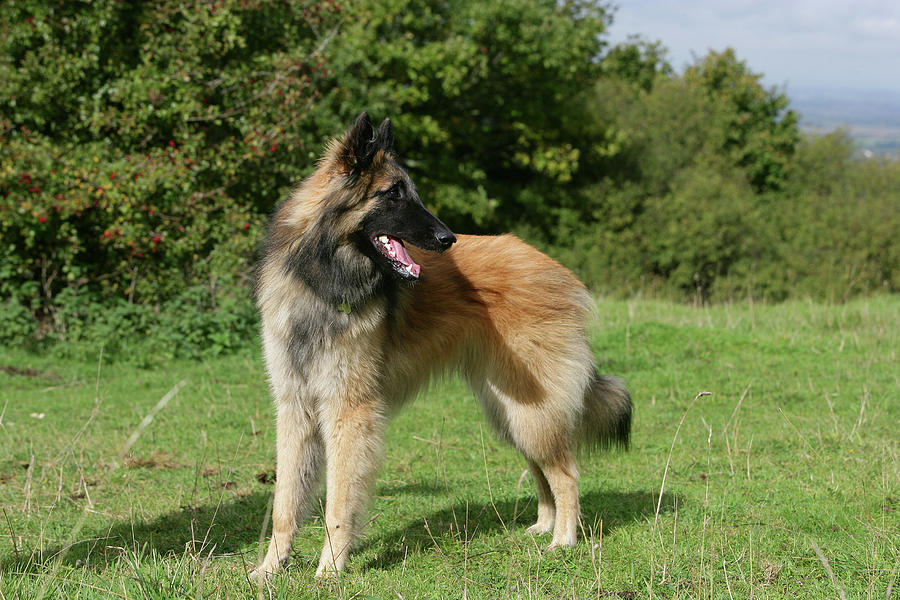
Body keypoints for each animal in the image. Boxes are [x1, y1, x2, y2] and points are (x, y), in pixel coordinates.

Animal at [253, 112, 632, 576]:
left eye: (411, 192)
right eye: (393, 194)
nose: (448, 237)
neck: (321, 280)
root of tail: (557, 270)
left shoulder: (349, 412)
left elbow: (339, 503)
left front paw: (330, 570)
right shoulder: (295, 408)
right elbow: (285, 502)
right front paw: (270, 568)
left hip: (531, 412)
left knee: (566, 473)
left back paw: (563, 540)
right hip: (510, 411)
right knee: (544, 471)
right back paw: (544, 525)